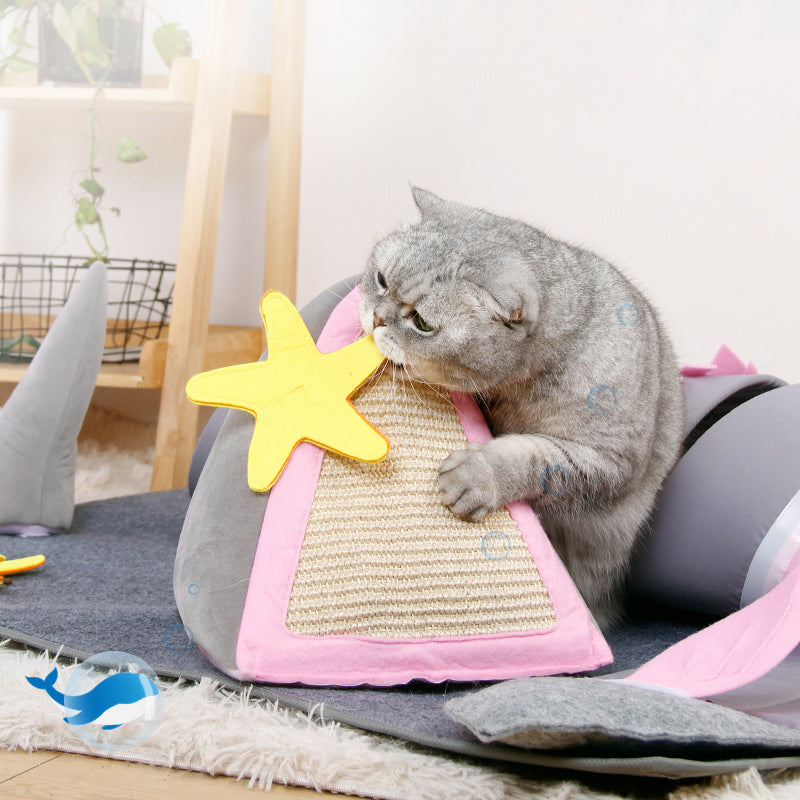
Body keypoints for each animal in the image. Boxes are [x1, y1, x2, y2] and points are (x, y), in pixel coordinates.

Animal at [360, 189, 684, 632]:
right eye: (381, 280)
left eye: (422, 323)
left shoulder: (609, 462)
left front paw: (477, 475)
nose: (375, 318)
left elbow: (534, 457)